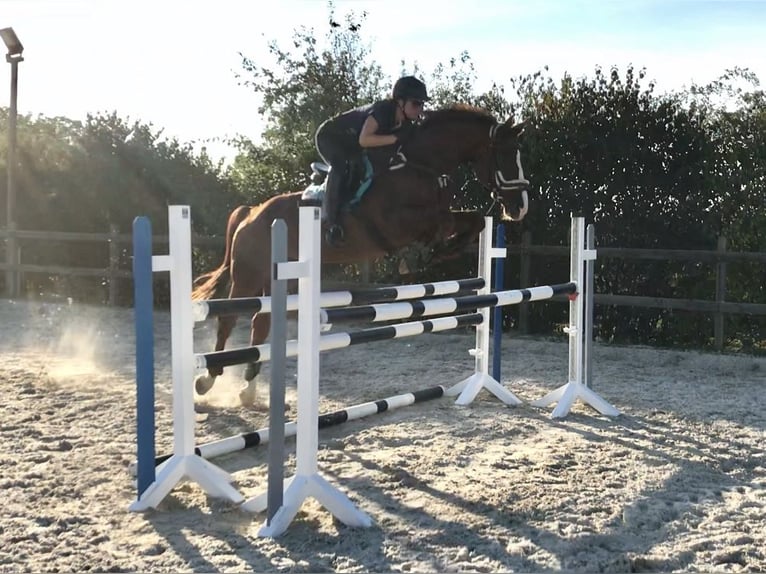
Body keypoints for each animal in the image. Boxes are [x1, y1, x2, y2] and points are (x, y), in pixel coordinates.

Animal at [192, 104, 531, 405]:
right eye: (504, 154)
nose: (520, 207)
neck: (419, 164)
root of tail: (252, 213)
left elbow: (473, 220)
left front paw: (440, 251)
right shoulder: (395, 224)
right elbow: (440, 222)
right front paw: (421, 254)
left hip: (277, 279)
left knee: (260, 323)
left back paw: (248, 390)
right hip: (247, 275)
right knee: (228, 318)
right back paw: (207, 379)